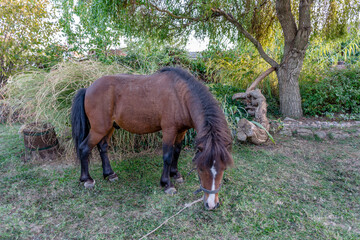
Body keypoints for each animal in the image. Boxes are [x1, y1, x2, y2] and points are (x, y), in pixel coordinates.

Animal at [70, 66, 233, 209]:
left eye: (223, 168)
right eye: (201, 168)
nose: (211, 204)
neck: (181, 96)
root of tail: (88, 89)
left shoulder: (181, 131)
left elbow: (177, 152)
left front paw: (175, 174)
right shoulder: (169, 130)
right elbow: (167, 156)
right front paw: (167, 184)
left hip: (109, 127)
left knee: (103, 147)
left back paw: (109, 174)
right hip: (99, 129)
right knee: (84, 148)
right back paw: (87, 179)